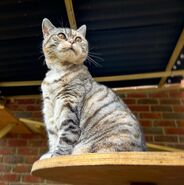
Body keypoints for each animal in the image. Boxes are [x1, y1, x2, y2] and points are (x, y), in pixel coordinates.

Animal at [39, 17, 146, 159]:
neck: (58, 71)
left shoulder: (68, 104)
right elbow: (53, 138)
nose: (72, 41)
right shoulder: (49, 109)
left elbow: (65, 138)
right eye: (61, 35)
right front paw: (49, 154)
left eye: (78, 39)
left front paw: (56, 155)